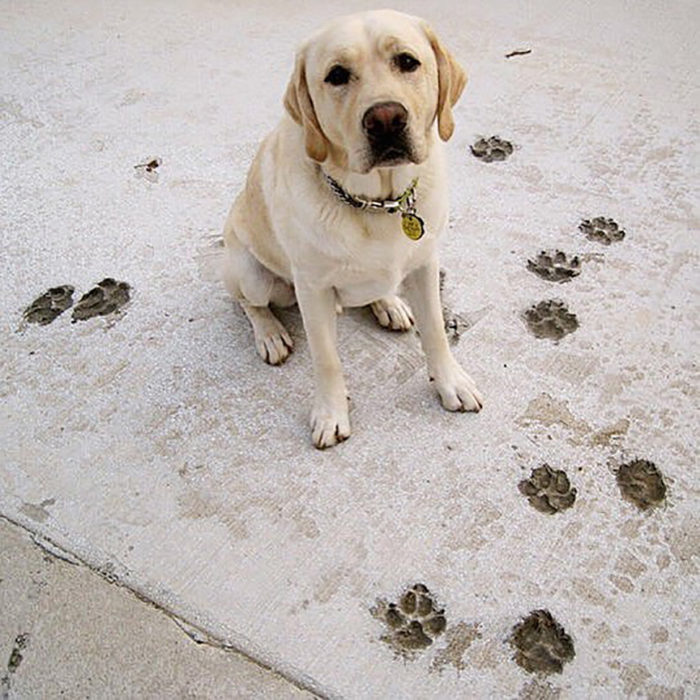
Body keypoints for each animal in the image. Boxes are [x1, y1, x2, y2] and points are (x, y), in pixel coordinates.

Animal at [223, 9, 482, 448]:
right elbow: (327, 359)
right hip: (249, 272)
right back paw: (270, 333)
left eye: (407, 62)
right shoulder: (311, 289)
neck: (377, 204)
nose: (386, 119)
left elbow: (435, 332)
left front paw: (452, 382)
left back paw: (389, 304)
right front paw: (331, 414)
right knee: (248, 303)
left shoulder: (425, 264)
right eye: (337, 75)